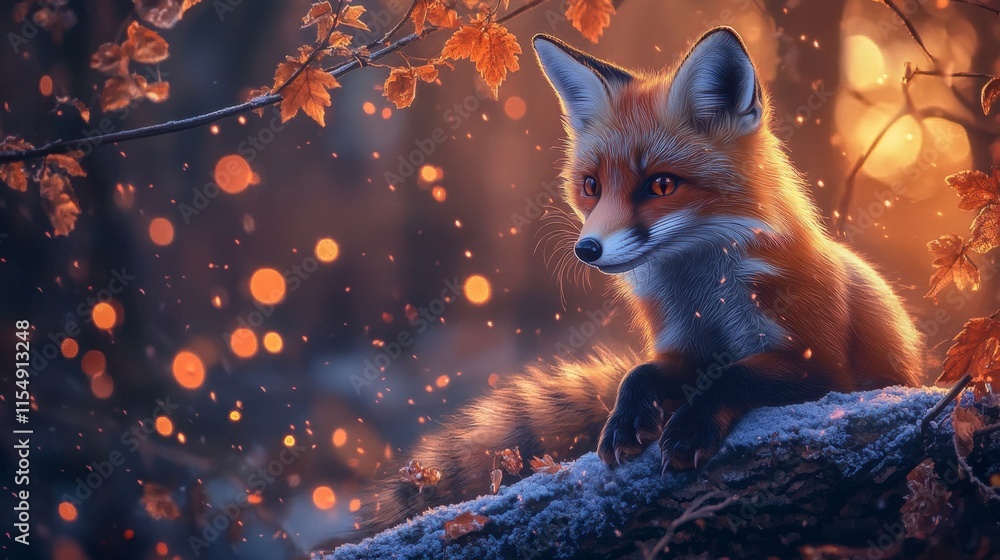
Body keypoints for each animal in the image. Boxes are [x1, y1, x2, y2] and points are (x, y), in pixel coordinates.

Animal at [356, 26, 925, 535]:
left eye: (661, 185)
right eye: (591, 186)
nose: (587, 249)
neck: (706, 299)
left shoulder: (824, 368)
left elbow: (734, 376)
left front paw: (691, 426)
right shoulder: (682, 348)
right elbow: (639, 373)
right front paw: (627, 420)